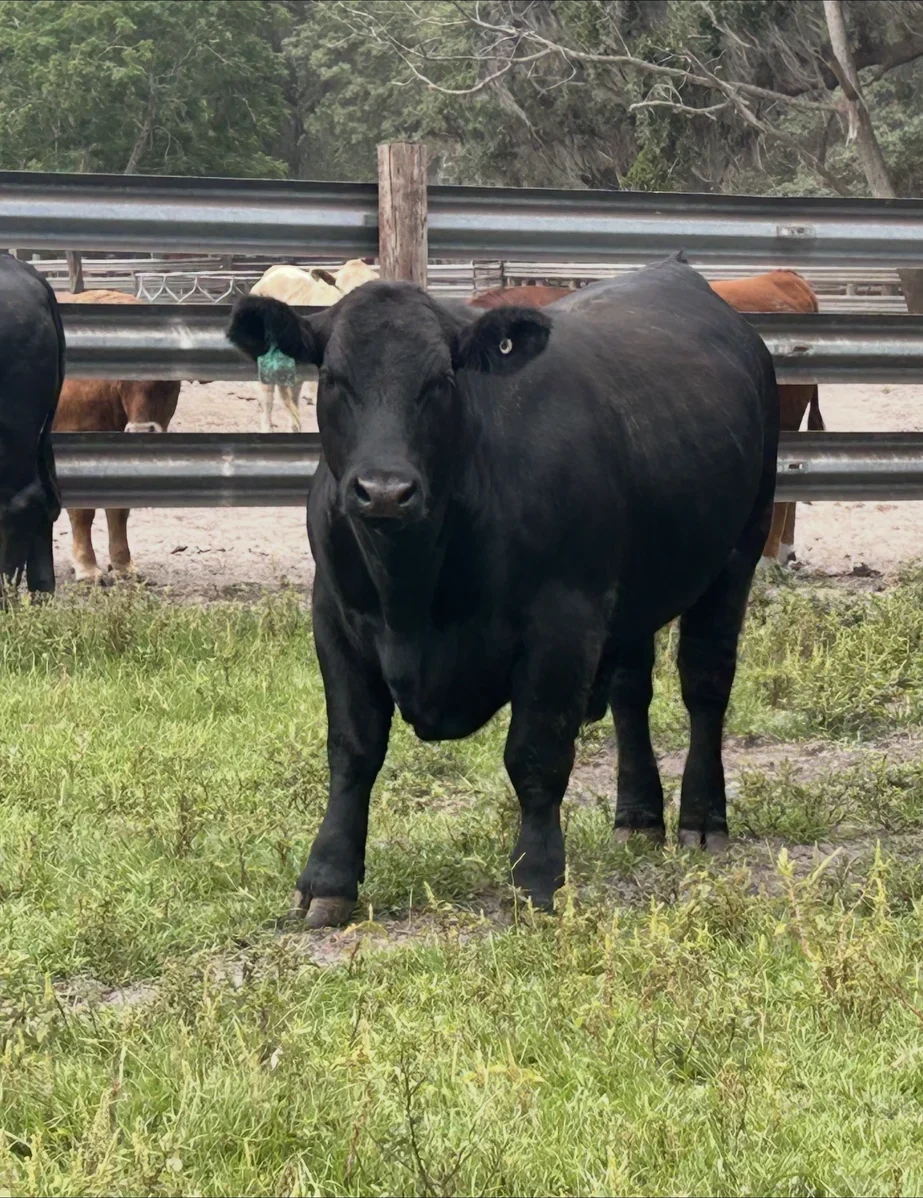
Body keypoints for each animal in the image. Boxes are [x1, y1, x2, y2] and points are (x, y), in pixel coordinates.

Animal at [53, 290, 181, 582]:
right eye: (123, 380)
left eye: (168, 382)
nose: (142, 431)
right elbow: (82, 512)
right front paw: (86, 567)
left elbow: (119, 509)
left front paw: (123, 564)